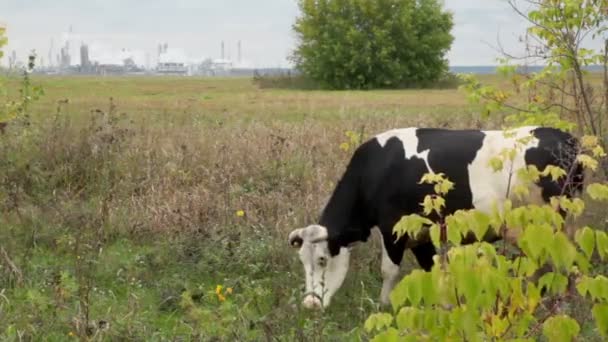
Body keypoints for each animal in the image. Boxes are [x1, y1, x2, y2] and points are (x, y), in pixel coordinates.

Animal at [290, 125, 584, 310]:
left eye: (322, 259)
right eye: (302, 262)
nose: (310, 304)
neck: (376, 170)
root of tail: (566, 139)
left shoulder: (392, 229)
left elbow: (389, 270)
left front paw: (384, 306)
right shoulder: (422, 236)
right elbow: (432, 269)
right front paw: (444, 304)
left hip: (551, 223)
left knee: (561, 261)